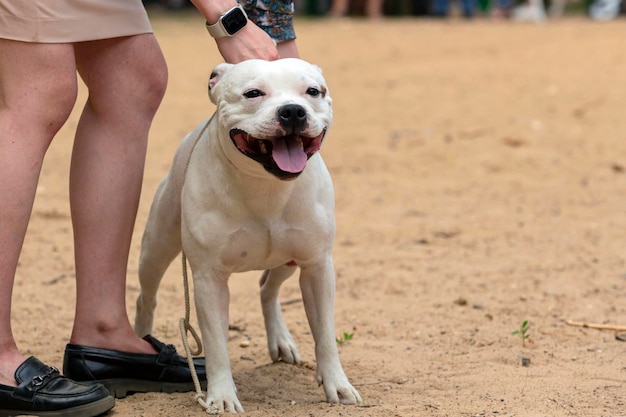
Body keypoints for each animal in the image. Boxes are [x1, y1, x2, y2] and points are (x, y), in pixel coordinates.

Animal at [134, 58, 364, 412]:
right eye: (253, 93)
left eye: (313, 91)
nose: (293, 111)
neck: (266, 185)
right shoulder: (209, 279)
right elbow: (216, 345)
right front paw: (222, 397)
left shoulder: (317, 267)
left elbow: (325, 335)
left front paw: (337, 385)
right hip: (156, 249)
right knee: (146, 297)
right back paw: (142, 342)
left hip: (289, 261)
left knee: (267, 289)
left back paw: (281, 341)